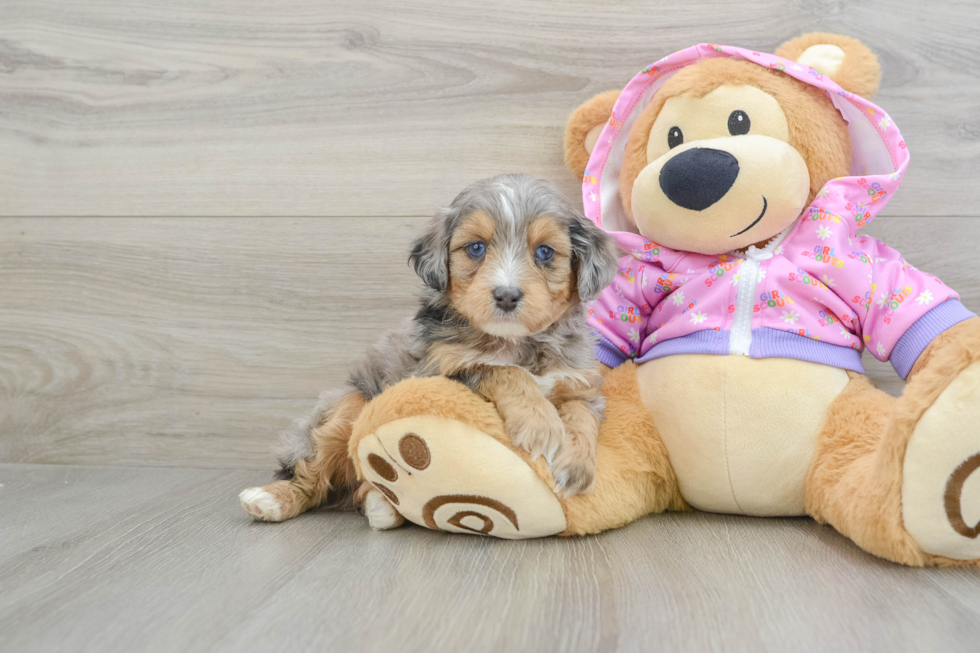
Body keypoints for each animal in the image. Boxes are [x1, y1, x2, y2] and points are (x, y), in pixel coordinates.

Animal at [238, 174, 616, 528]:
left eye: (545, 253)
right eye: (476, 248)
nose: (507, 296)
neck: (514, 341)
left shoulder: (581, 384)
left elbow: (581, 415)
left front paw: (576, 465)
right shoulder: (439, 371)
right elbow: (501, 369)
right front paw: (539, 423)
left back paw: (380, 504)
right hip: (348, 406)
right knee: (310, 475)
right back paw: (271, 499)